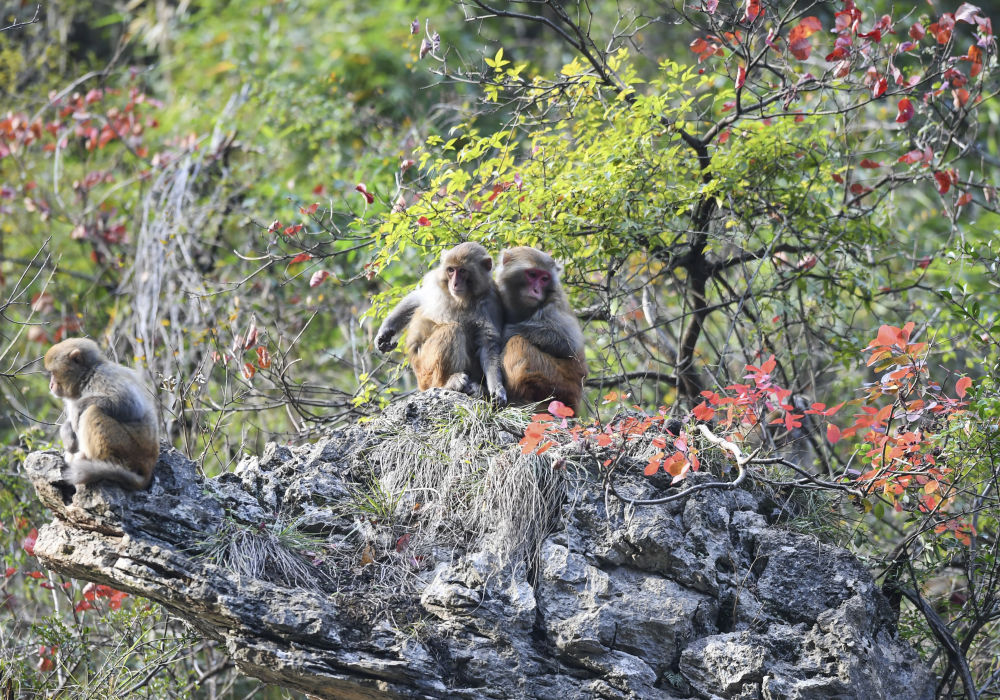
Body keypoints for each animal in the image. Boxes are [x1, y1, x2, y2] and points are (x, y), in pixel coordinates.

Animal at [44, 336, 158, 490]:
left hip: (129, 447)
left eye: (52, 373)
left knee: (92, 411)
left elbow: (130, 404)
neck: (86, 377)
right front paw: (67, 432)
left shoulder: (103, 376)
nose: (51, 385)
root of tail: (149, 464)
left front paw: (77, 408)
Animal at [376, 242, 508, 402]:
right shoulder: (436, 285)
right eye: (451, 270)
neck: (464, 299)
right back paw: (447, 383)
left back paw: (475, 388)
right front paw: (385, 332)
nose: (455, 283)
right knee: (453, 329)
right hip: (424, 368)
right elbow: (418, 298)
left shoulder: (491, 300)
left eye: (462, 271)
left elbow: (487, 343)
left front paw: (497, 387)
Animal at [492, 246, 584, 410]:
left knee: (518, 342)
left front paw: (507, 331)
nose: (536, 290)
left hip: (560, 383)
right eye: (532, 274)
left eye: (544, 279)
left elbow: (570, 344)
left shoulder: (553, 304)